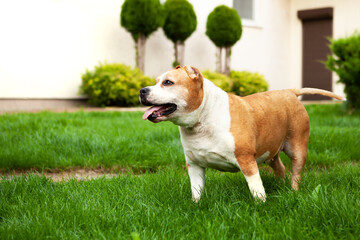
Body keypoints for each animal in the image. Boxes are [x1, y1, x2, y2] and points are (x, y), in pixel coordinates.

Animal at [139, 65, 344, 202]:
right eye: (156, 82)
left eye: (168, 82)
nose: (142, 90)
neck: (202, 119)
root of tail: (290, 91)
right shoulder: (194, 165)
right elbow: (196, 190)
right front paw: (195, 205)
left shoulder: (246, 160)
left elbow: (256, 188)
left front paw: (261, 205)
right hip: (270, 152)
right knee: (280, 168)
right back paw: (280, 185)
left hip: (297, 147)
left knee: (296, 172)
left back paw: (293, 191)